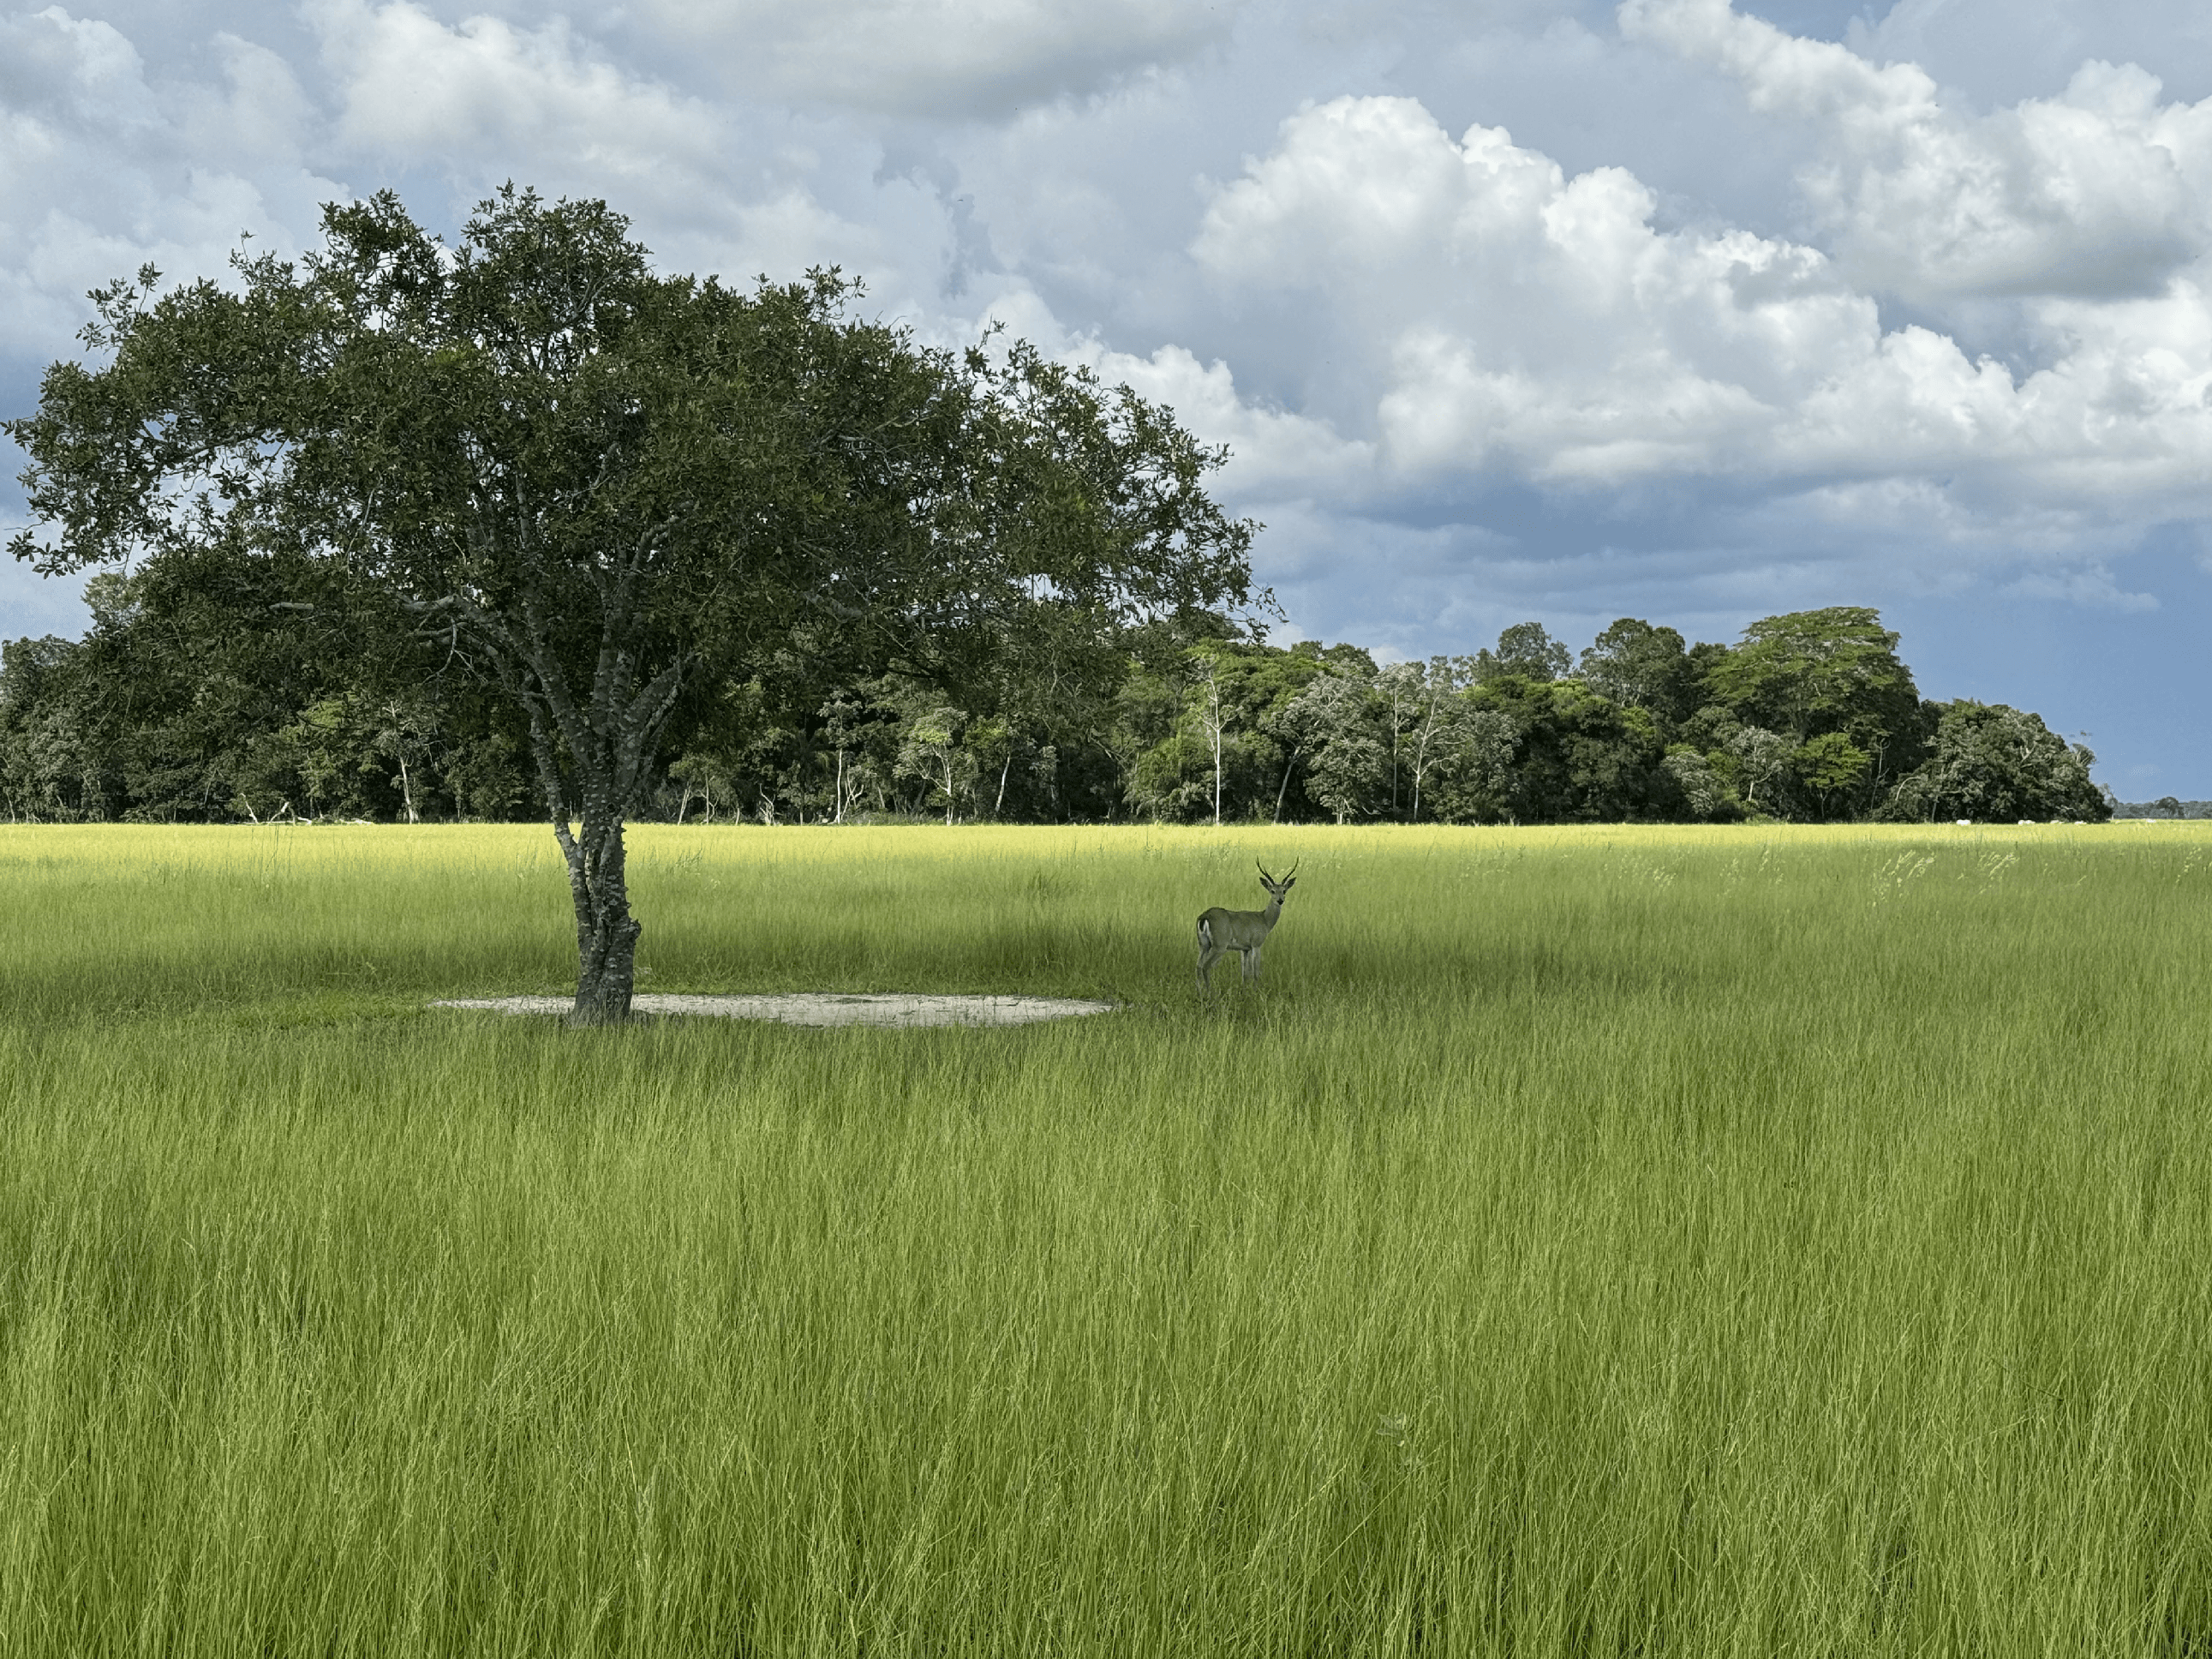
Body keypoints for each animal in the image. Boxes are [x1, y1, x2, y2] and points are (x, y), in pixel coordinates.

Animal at [1197, 862, 1298, 991]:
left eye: (1284, 890)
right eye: (1272, 891)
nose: (1280, 901)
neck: (1264, 919)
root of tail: (1205, 916)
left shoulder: (1245, 949)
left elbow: (1245, 973)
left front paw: (1244, 991)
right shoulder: (1256, 945)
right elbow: (1255, 972)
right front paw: (1256, 991)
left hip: (1204, 945)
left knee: (1198, 966)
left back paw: (1199, 992)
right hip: (1219, 947)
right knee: (1206, 966)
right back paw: (1210, 993)